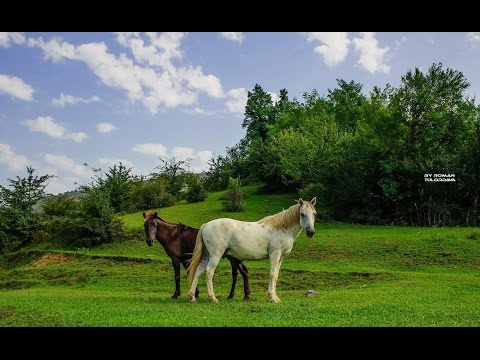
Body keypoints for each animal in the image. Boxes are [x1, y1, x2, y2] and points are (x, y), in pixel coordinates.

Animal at [188, 198, 318, 302]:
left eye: (314, 214)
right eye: (302, 214)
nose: (311, 232)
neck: (282, 229)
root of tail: (206, 225)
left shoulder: (280, 258)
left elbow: (276, 275)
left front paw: (275, 297)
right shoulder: (274, 255)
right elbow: (272, 274)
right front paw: (272, 298)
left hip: (207, 255)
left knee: (198, 271)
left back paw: (192, 297)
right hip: (216, 255)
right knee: (209, 272)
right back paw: (213, 298)